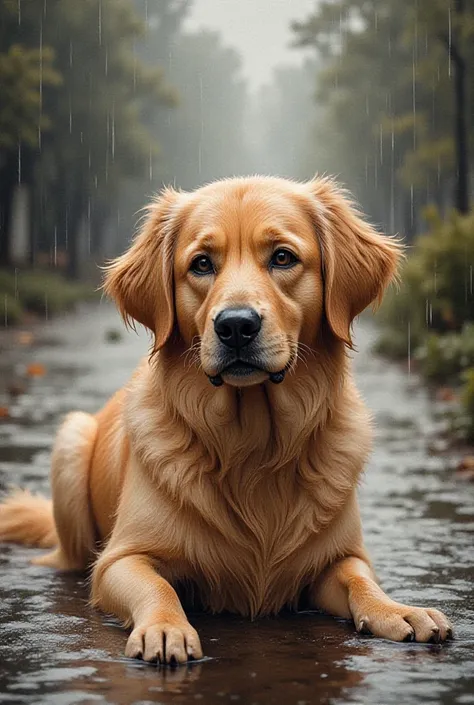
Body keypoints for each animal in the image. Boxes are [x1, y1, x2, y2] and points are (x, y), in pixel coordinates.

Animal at [0, 175, 452, 660]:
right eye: (201, 264)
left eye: (282, 257)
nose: (236, 326)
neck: (254, 445)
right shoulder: (119, 559)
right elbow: (158, 586)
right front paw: (166, 628)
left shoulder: (340, 556)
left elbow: (360, 581)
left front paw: (400, 610)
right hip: (72, 438)